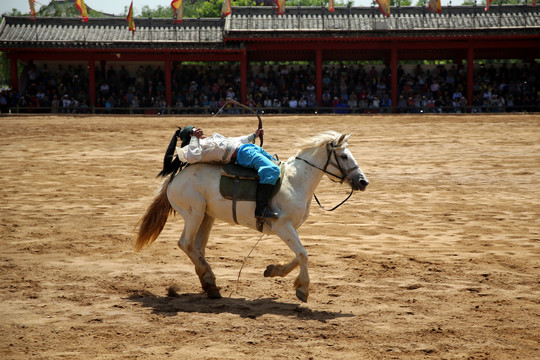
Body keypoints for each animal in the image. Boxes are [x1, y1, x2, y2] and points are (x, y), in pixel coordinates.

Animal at [137, 131, 370, 302]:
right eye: (343, 156)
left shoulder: (290, 229)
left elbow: (299, 254)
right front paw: (303, 289)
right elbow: (303, 254)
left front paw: (273, 270)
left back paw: (210, 284)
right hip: (194, 214)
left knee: (197, 248)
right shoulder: (282, 227)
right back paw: (209, 278)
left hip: (206, 217)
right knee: (185, 243)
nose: (363, 181)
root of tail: (176, 177)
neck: (295, 181)